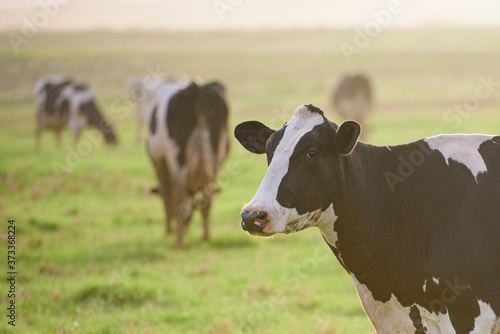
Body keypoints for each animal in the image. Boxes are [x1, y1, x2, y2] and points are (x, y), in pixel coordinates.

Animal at [146, 77, 229, 247]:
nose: (188, 223)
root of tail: (197, 89)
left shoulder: (159, 163)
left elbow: (167, 197)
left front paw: (168, 231)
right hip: (214, 160)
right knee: (207, 198)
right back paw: (205, 237)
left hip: (179, 160)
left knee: (179, 197)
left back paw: (179, 242)